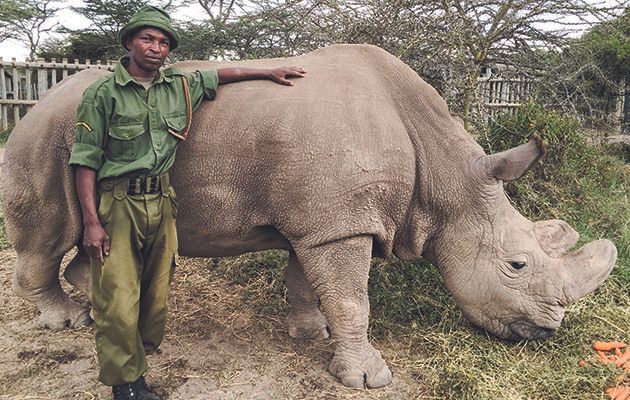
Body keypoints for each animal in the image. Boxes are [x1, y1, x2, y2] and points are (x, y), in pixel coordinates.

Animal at [0, 44, 620, 388]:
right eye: (517, 264)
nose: (547, 331)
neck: (448, 177)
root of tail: (36, 101)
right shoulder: (338, 225)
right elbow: (353, 299)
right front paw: (367, 378)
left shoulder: (324, 220)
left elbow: (310, 284)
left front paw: (308, 332)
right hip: (44, 137)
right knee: (50, 232)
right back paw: (66, 322)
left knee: (91, 241)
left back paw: (93, 309)